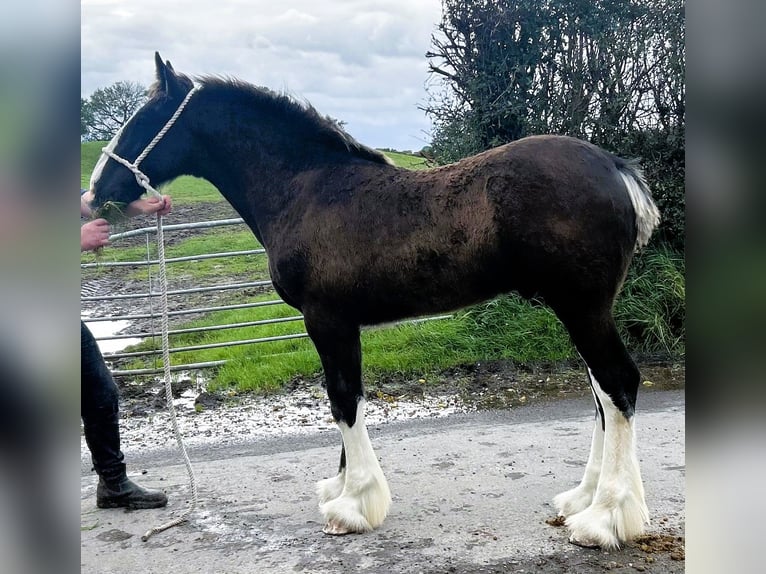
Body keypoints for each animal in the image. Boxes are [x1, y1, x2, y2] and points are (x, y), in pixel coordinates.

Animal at [90, 53, 664, 548]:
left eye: (141, 120)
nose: (96, 191)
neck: (308, 189)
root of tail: (614, 167)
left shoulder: (327, 319)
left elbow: (343, 399)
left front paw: (353, 506)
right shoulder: (338, 325)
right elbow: (343, 400)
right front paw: (340, 486)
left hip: (581, 308)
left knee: (617, 384)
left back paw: (604, 518)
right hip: (581, 310)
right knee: (601, 394)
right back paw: (584, 499)